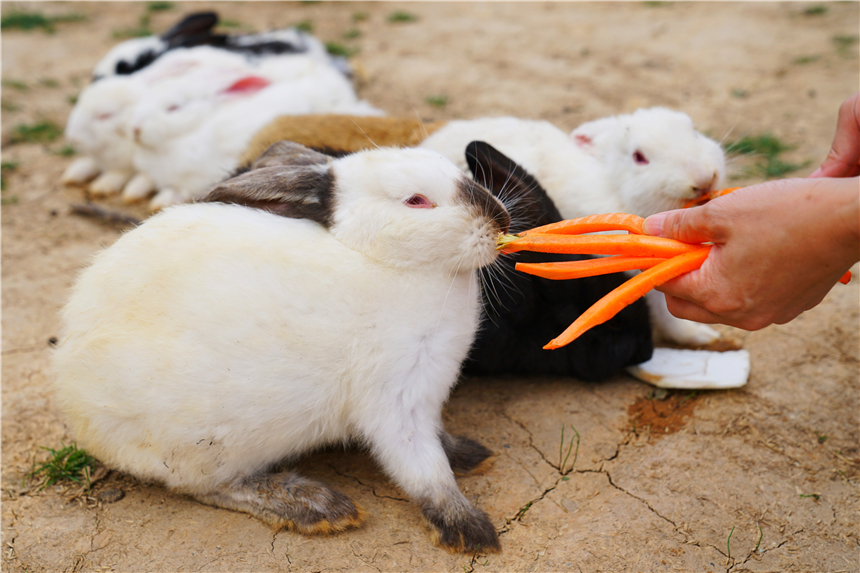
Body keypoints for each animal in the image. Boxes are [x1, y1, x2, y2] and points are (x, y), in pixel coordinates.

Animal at [52, 141, 510, 552]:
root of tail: (76, 401)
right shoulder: (395, 402)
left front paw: (471, 455)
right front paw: (469, 530)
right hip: (210, 442)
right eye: (416, 201)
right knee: (206, 486)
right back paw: (316, 506)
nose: (500, 222)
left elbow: (440, 440)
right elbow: (425, 468)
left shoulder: (425, 400)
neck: (390, 263)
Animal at [420, 109, 728, 346]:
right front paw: (700, 336)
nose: (703, 178)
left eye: (694, 131)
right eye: (639, 157)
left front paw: (704, 336)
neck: (614, 186)